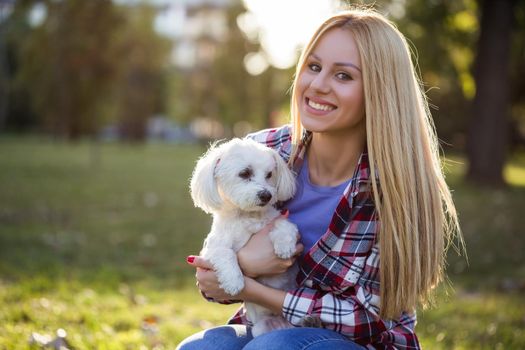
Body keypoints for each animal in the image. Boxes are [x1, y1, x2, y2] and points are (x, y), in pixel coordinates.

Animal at [189, 137, 298, 336]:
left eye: (269, 174)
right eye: (245, 173)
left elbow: (283, 225)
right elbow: (226, 253)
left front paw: (284, 247)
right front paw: (234, 281)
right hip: (261, 328)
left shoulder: (278, 220)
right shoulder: (211, 250)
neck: (247, 216)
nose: (266, 195)